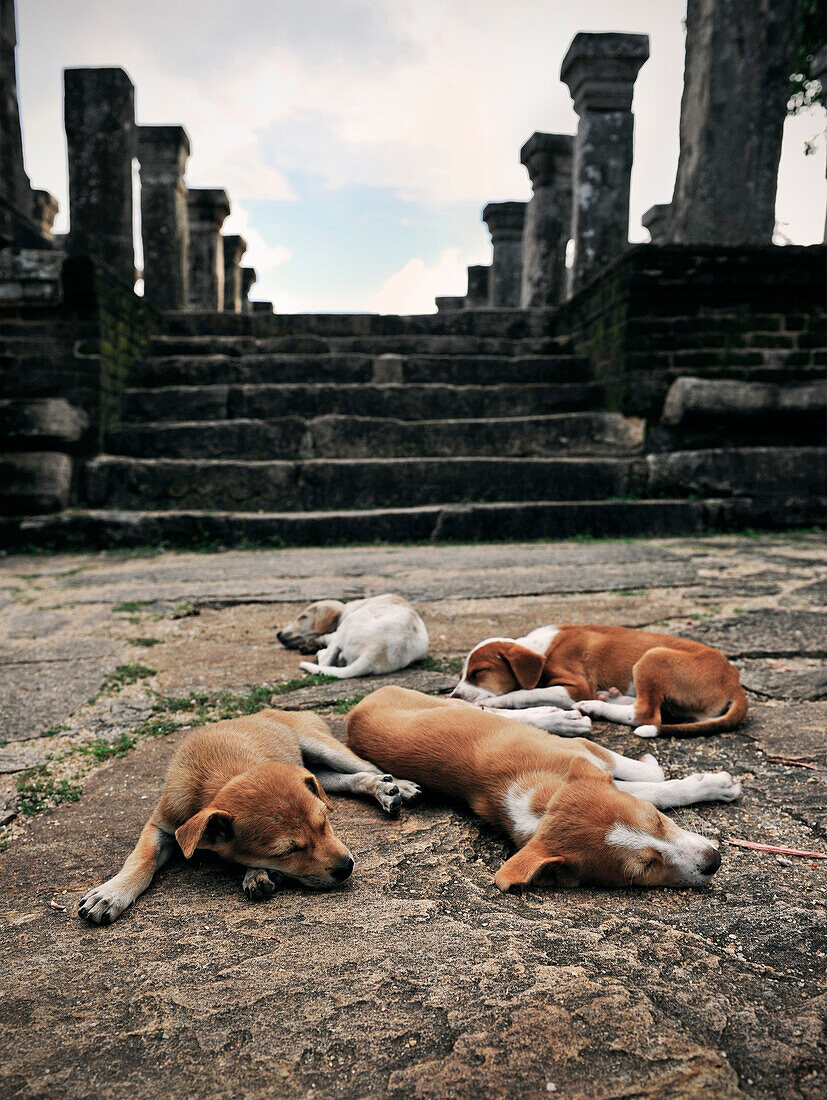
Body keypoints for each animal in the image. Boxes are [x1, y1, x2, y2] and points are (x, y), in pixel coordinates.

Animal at [78, 708, 420, 924]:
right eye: (285, 851)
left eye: (326, 824)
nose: (347, 867)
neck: (218, 777)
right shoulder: (161, 825)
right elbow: (141, 859)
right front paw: (111, 894)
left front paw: (255, 874)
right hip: (317, 770)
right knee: (348, 778)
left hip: (322, 746)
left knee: (369, 767)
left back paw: (396, 786)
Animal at [279, 594, 428, 677]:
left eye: (302, 618)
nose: (278, 635)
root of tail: (373, 652)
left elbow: (325, 636)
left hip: (350, 622)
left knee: (325, 661)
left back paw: (319, 652)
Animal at [345, 686, 739, 893]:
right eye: (643, 869)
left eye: (657, 821)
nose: (715, 862)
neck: (542, 800)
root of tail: (354, 712)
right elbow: (653, 785)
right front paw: (714, 784)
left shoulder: (586, 752)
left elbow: (644, 780)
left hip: (442, 702)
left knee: (488, 708)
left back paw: (555, 716)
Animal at [453, 629, 747, 739]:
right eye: (461, 675)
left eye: (478, 672)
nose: (454, 697)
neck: (541, 648)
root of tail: (735, 681)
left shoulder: (575, 686)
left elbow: (528, 692)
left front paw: (494, 700)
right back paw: (611, 696)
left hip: (653, 657)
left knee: (646, 714)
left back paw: (597, 705)